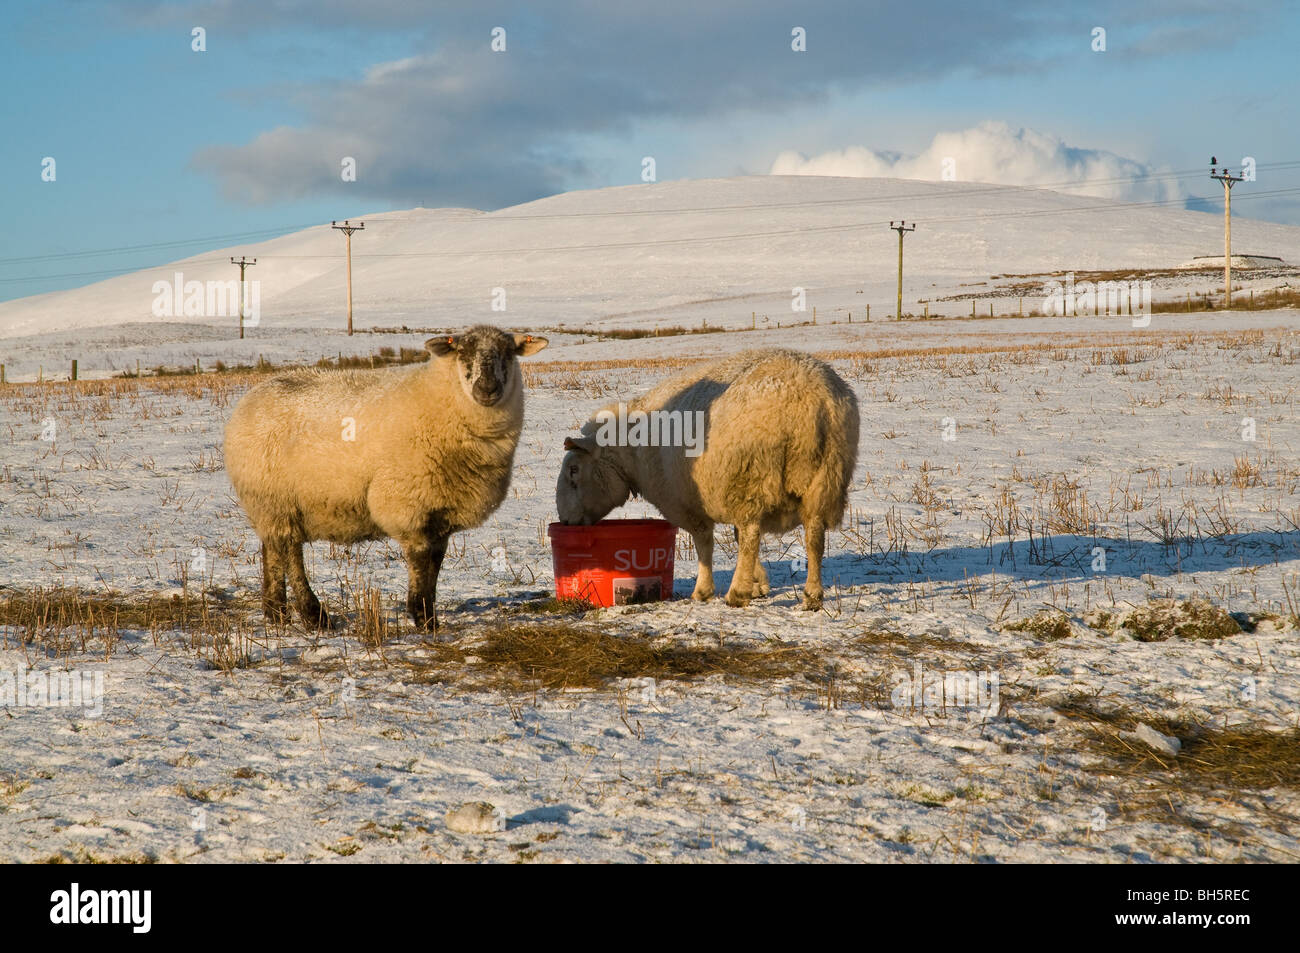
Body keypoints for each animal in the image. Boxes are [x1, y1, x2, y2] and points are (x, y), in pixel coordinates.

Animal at [224, 326, 548, 631]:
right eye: (463, 352)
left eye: (509, 353)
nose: (487, 388)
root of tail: (250, 398)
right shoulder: (407, 505)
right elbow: (420, 560)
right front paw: (422, 617)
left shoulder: (440, 511)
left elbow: (436, 562)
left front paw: (428, 613)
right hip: (275, 498)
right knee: (290, 555)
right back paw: (314, 616)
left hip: (271, 507)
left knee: (272, 550)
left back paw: (276, 613)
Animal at [555, 348, 859, 609]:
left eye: (573, 470)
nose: (565, 522)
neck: (632, 451)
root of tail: (809, 399)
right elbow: (734, 536)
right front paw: (759, 583)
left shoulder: (686, 501)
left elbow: (705, 542)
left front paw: (704, 590)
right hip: (824, 477)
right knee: (813, 535)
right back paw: (812, 596)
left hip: (752, 475)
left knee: (751, 534)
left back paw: (737, 593)